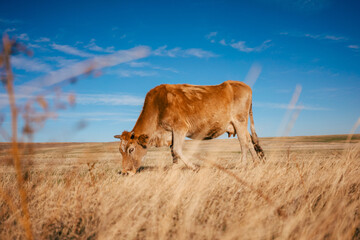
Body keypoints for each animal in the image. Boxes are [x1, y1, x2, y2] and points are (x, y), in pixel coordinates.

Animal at [114, 80, 264, 174]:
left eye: (131, 149)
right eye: (120, 150)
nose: (125, 172)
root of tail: (243, 85)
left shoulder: (180, 128)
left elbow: (177, 150)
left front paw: (194, 167)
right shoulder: (171, 134)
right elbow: (173, 153)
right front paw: (174, 170)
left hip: (240, 121)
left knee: (243, 142)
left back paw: (243, 165)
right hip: (240, 125)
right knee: (249, 141)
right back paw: (256, 163)